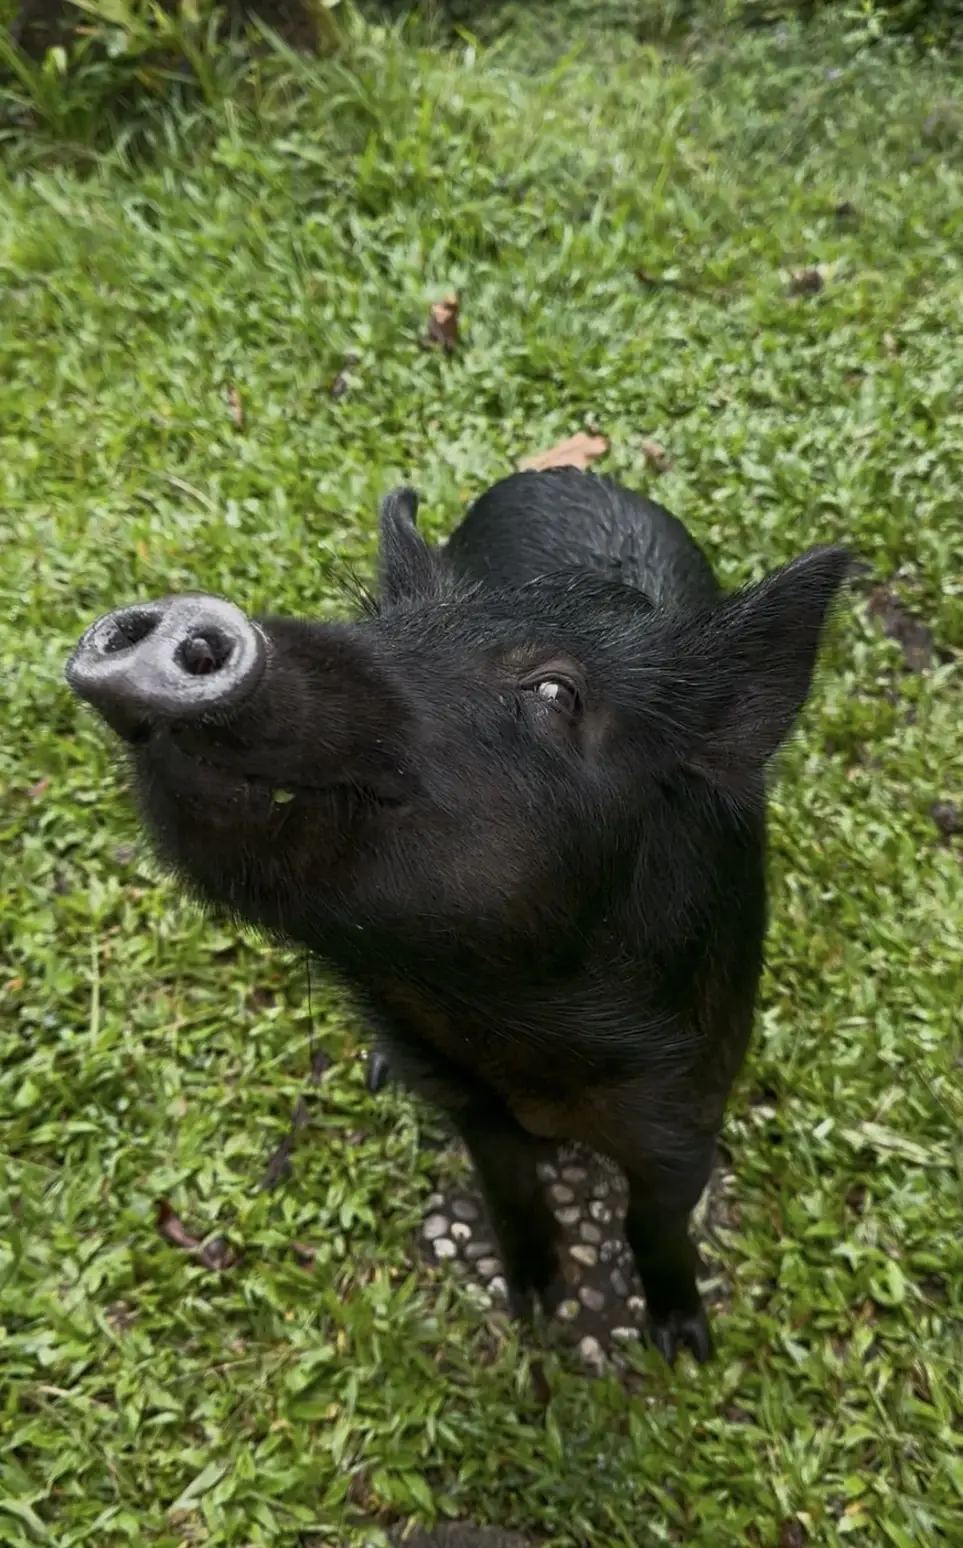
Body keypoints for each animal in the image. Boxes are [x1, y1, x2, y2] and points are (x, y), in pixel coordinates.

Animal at [64, 467, 850, 1365]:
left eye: (554, 691)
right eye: (380, 628)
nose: (181, 618)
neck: (502, 1021)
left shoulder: (689, 1103)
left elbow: (653, 1220)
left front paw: (683, 1348)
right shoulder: (468, 1102)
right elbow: (507, 1189)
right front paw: (533, 1306)